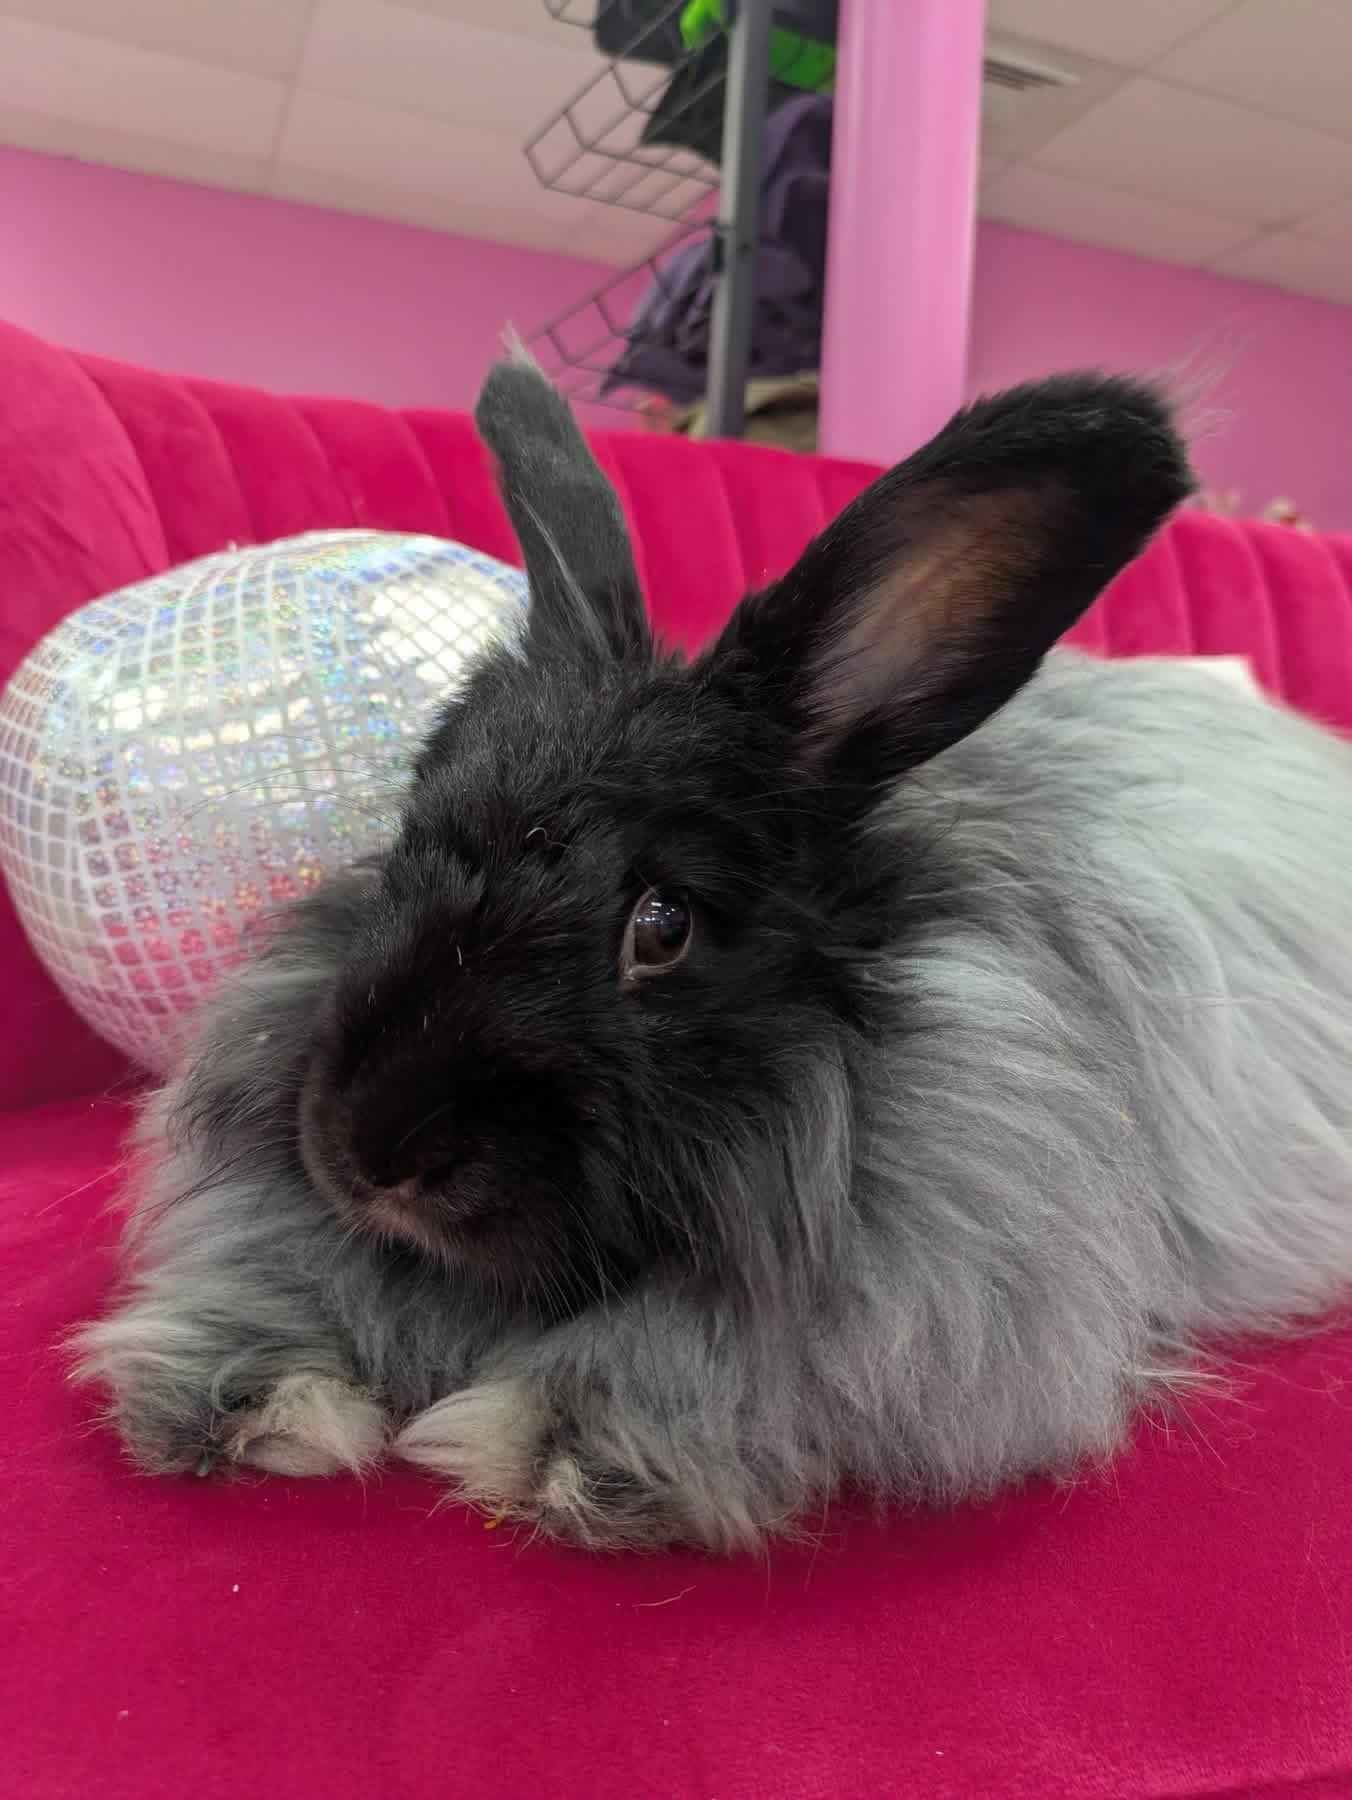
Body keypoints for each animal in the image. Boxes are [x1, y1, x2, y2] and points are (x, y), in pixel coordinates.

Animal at [73, 353, 1352, 1552]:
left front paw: (529, 1442)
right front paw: (251, 1401)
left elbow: (698, 1373)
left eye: (662, 924)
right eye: (401, 846)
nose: (373, 1154)